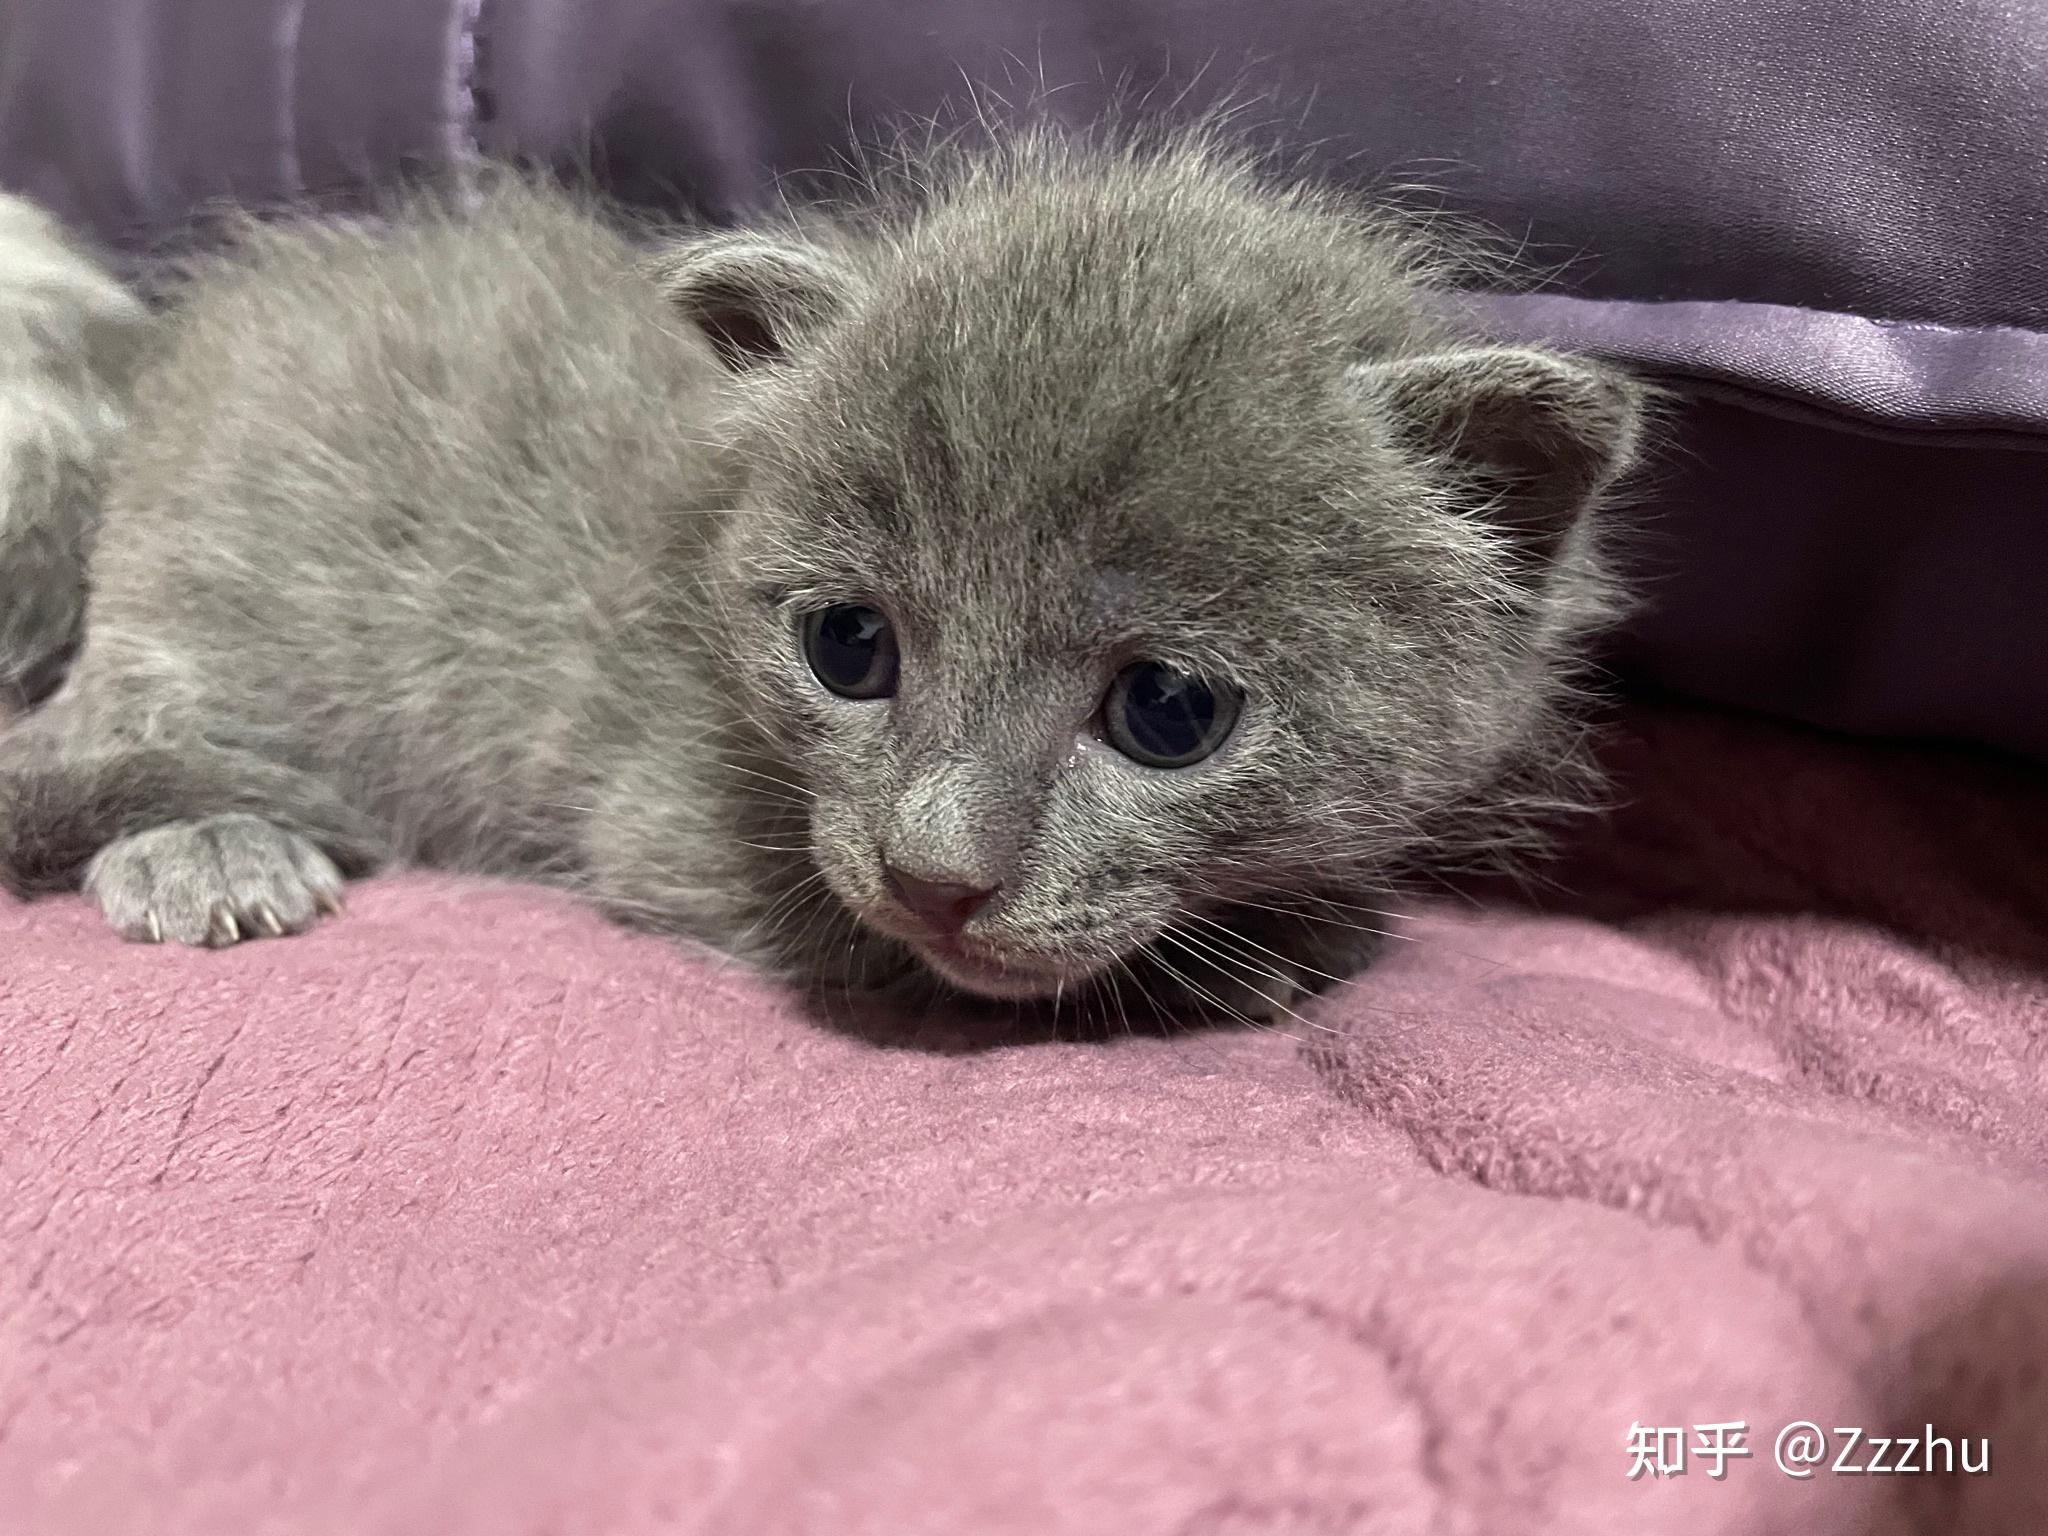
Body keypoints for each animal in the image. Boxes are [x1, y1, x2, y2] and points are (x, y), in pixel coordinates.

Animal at [0, 129, 1638, 1024]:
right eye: (850, 646)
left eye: (1168, 709)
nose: (934, 875)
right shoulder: (667, 821)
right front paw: (1245, 959)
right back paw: (207, 847)